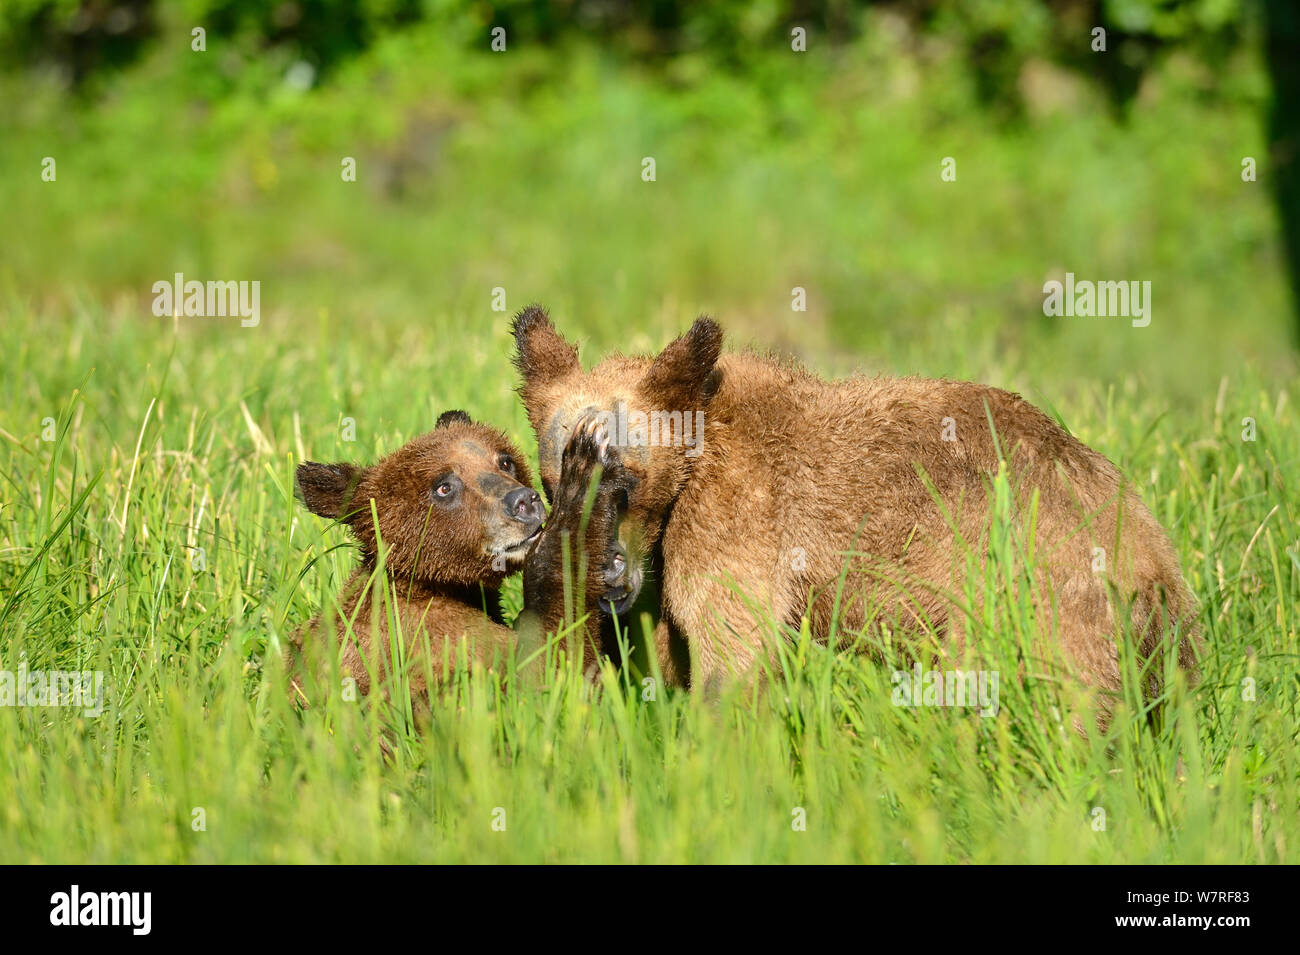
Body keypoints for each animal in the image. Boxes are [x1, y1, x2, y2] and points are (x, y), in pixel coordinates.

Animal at [291, 407, 624, 706]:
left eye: (505, 461)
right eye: (444, 486)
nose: (524, 502)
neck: (435, 582)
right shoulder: (430, 636)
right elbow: (548, 670)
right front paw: (586, 465)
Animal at [512, 306, 1201, 712]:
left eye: (624, 476)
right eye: (554, 480)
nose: (608, 579)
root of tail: (1155, 556)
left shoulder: (738, 524)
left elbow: (731, 644)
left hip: (1035, 591)